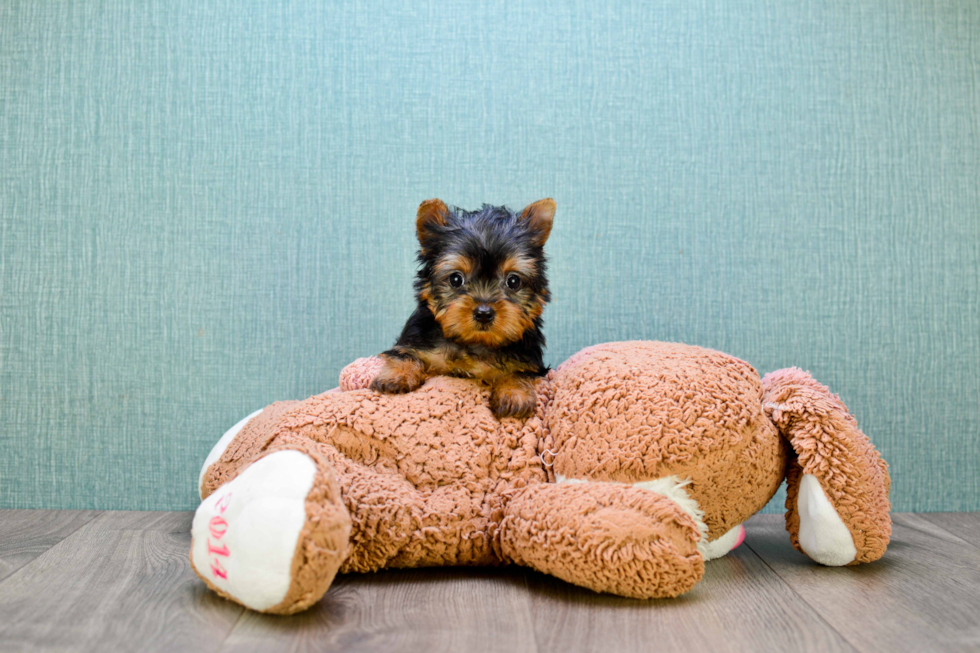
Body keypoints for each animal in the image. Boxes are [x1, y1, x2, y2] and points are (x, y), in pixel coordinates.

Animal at [372, 197, 556, 418]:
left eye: (513, 281)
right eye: (455, 279)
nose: (484, 313)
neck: (473, 342)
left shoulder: (528, 360)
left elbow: (519, 372)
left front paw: (515, 394)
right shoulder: (418, 340)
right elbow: (405, 354)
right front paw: (397, 376)